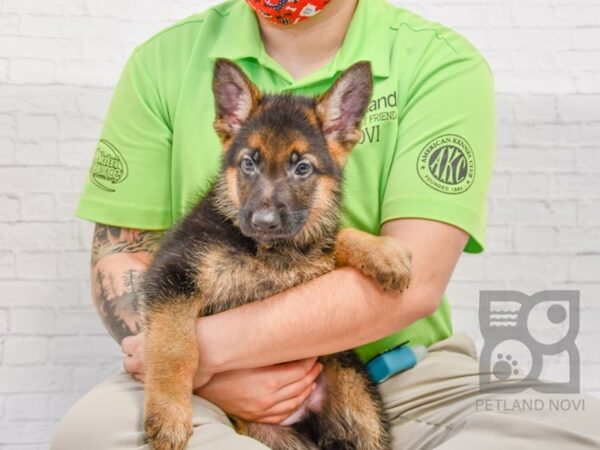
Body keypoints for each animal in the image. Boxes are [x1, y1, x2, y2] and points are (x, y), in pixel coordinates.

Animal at [141, 59, 412, 450]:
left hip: (359, 401)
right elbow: (174, 347)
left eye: (302, 168)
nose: (264, 222)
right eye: (249, 164)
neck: (269, 250)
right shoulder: (172, 273)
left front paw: (381, 252)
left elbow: (336, 237)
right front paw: (169, 413)